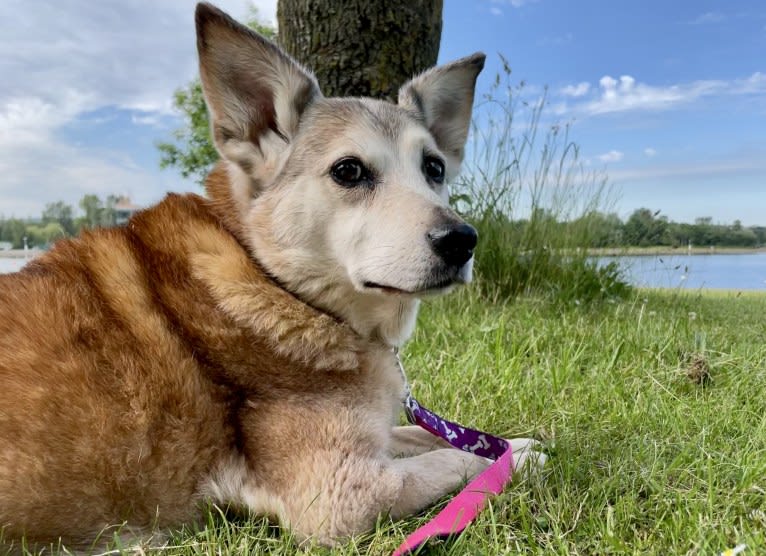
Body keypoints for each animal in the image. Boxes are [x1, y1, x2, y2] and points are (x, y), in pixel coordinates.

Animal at [0, 3, 544, 552]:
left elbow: (428, 435)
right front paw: (519, 456)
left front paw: (513, 442)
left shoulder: (371, 438)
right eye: (349, 171)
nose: (462, 239)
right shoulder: (341, 496)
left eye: (433, 168)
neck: (280, 286)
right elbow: (454, 458)